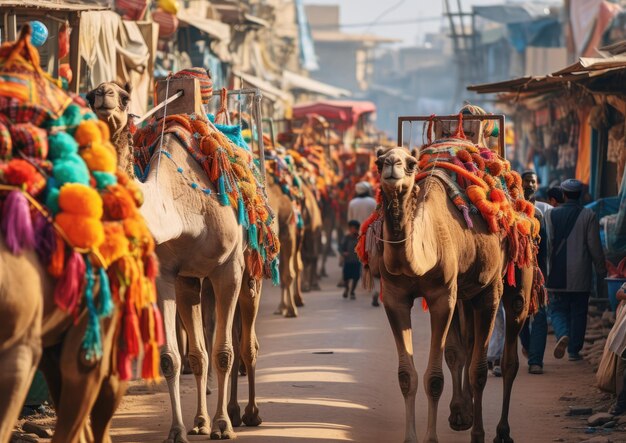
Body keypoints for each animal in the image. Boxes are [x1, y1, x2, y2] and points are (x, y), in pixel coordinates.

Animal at [89, 82, 262, 440]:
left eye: (124, 96)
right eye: (89, 95)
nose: (103, 94)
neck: (182, 212)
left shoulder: (228, 270)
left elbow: (224, 352)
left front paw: (222, 426)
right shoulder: (168, 275)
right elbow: (175, 357)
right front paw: (179, 430)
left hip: (251, 273)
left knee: (245, 344)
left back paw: (247, 414)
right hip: (193, 282)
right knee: (201, 351)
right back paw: (207, 419)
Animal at [372, 148, 528, 443]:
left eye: (410, 164)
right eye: (378, 161)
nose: (392, 165)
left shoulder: (442, 296)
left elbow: (436, 379)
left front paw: (441, 437)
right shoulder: (395, 298)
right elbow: (407, 376)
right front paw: (411, 437)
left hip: (507, 277)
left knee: (505, 354)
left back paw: (500, 431)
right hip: (465, 292)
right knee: (465, 347)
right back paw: (461, 414)